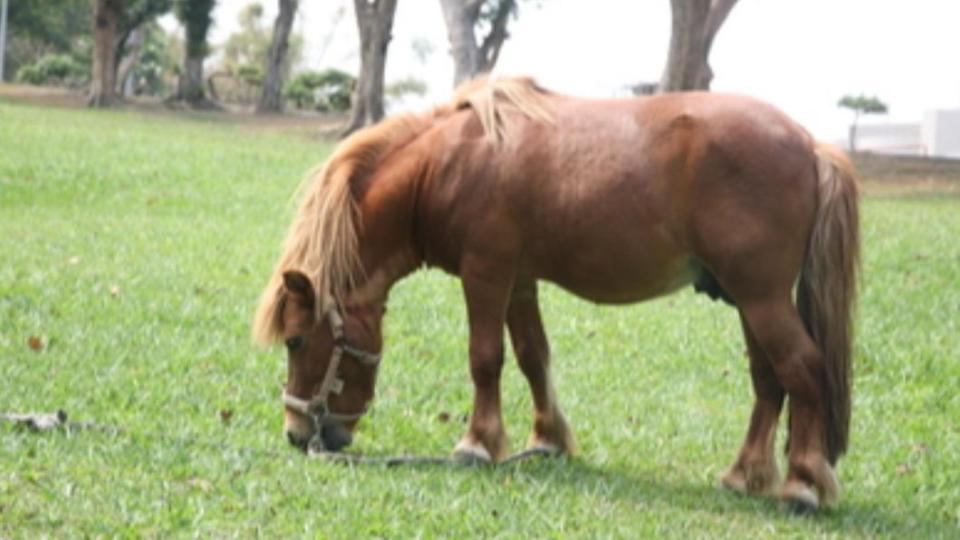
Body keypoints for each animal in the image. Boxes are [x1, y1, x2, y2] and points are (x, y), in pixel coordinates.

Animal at [251, 76, 860, 510]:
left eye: (297, 341)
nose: (298, 433)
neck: (446, 166)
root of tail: (811, 145)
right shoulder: (520, 282)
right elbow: (532, 358)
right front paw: (546, 439)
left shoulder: (486, 274)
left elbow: (485, 359)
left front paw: (476, 444)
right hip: (747, 299)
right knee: (769, 381)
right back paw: (745, 475)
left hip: (761, 297)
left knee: (803, 370)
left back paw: (803, 484)